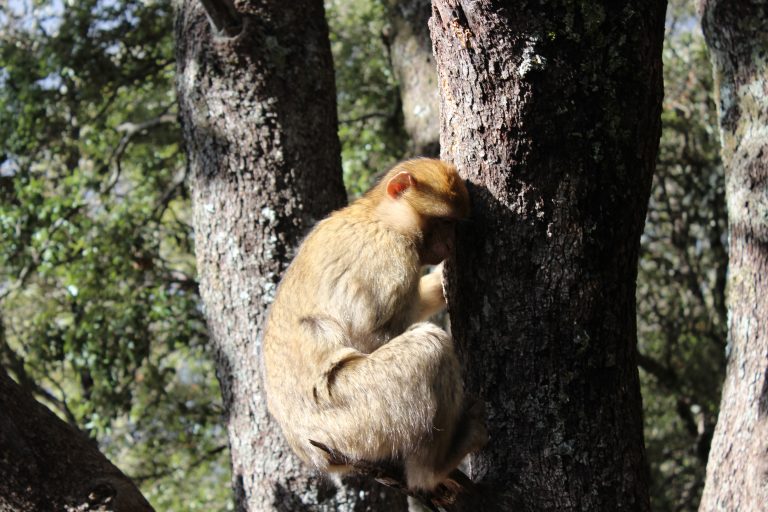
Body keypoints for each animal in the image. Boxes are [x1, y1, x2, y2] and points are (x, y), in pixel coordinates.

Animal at [260, 157, 484, 492]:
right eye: (444, 222)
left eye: (454, 224)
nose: (448, 245)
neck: (377, 215)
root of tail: (313, 452)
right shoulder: (390, 255)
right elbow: (370, 335)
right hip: (358, 419)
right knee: (429, 347)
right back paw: (432, 469)